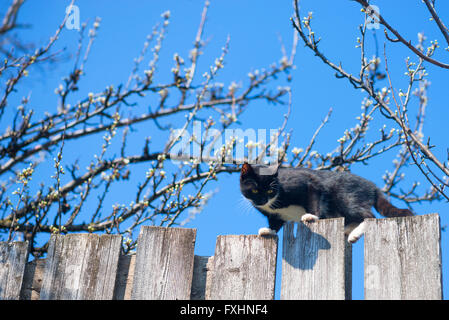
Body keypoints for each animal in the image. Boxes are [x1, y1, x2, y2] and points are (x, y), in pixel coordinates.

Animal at [238, 162, 412, 242]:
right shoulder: (274, 215)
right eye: (254, 190)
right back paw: (348, 231)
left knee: (368, 216)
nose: (262, 200)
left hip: (346, 196)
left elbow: (314, 195)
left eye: (270, 191)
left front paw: (311, 216)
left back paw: (354, 234)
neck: (274, 203)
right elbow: (275, 223)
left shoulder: (307, 184)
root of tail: (373, 186)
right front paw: (268, 231)